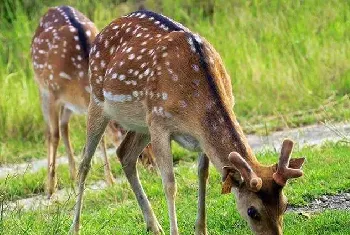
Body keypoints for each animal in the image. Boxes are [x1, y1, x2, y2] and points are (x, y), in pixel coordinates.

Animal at [30, 5, 154, 197]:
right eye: (142, 152)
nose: (152, 166)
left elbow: (100, 137)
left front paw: (110, 180)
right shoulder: (51, 92)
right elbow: (54, 135)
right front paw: (50, 187)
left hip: (68, 104)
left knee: (64, 125)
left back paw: (73, 174)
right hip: (41, 87)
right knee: (51, 131)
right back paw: (52, 182)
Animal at [69, 10, 304, 235]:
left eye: (284, 204)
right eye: (252, 211)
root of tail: (101, 31)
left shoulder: (199, 134)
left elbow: (203, 175)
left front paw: (201, 229)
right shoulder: (160, 123)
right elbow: (170, 183)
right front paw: (176, 231)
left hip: (142, 122)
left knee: (124, 153)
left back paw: (154, 226)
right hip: (98, 101)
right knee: (85, 163)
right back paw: (75, 227)